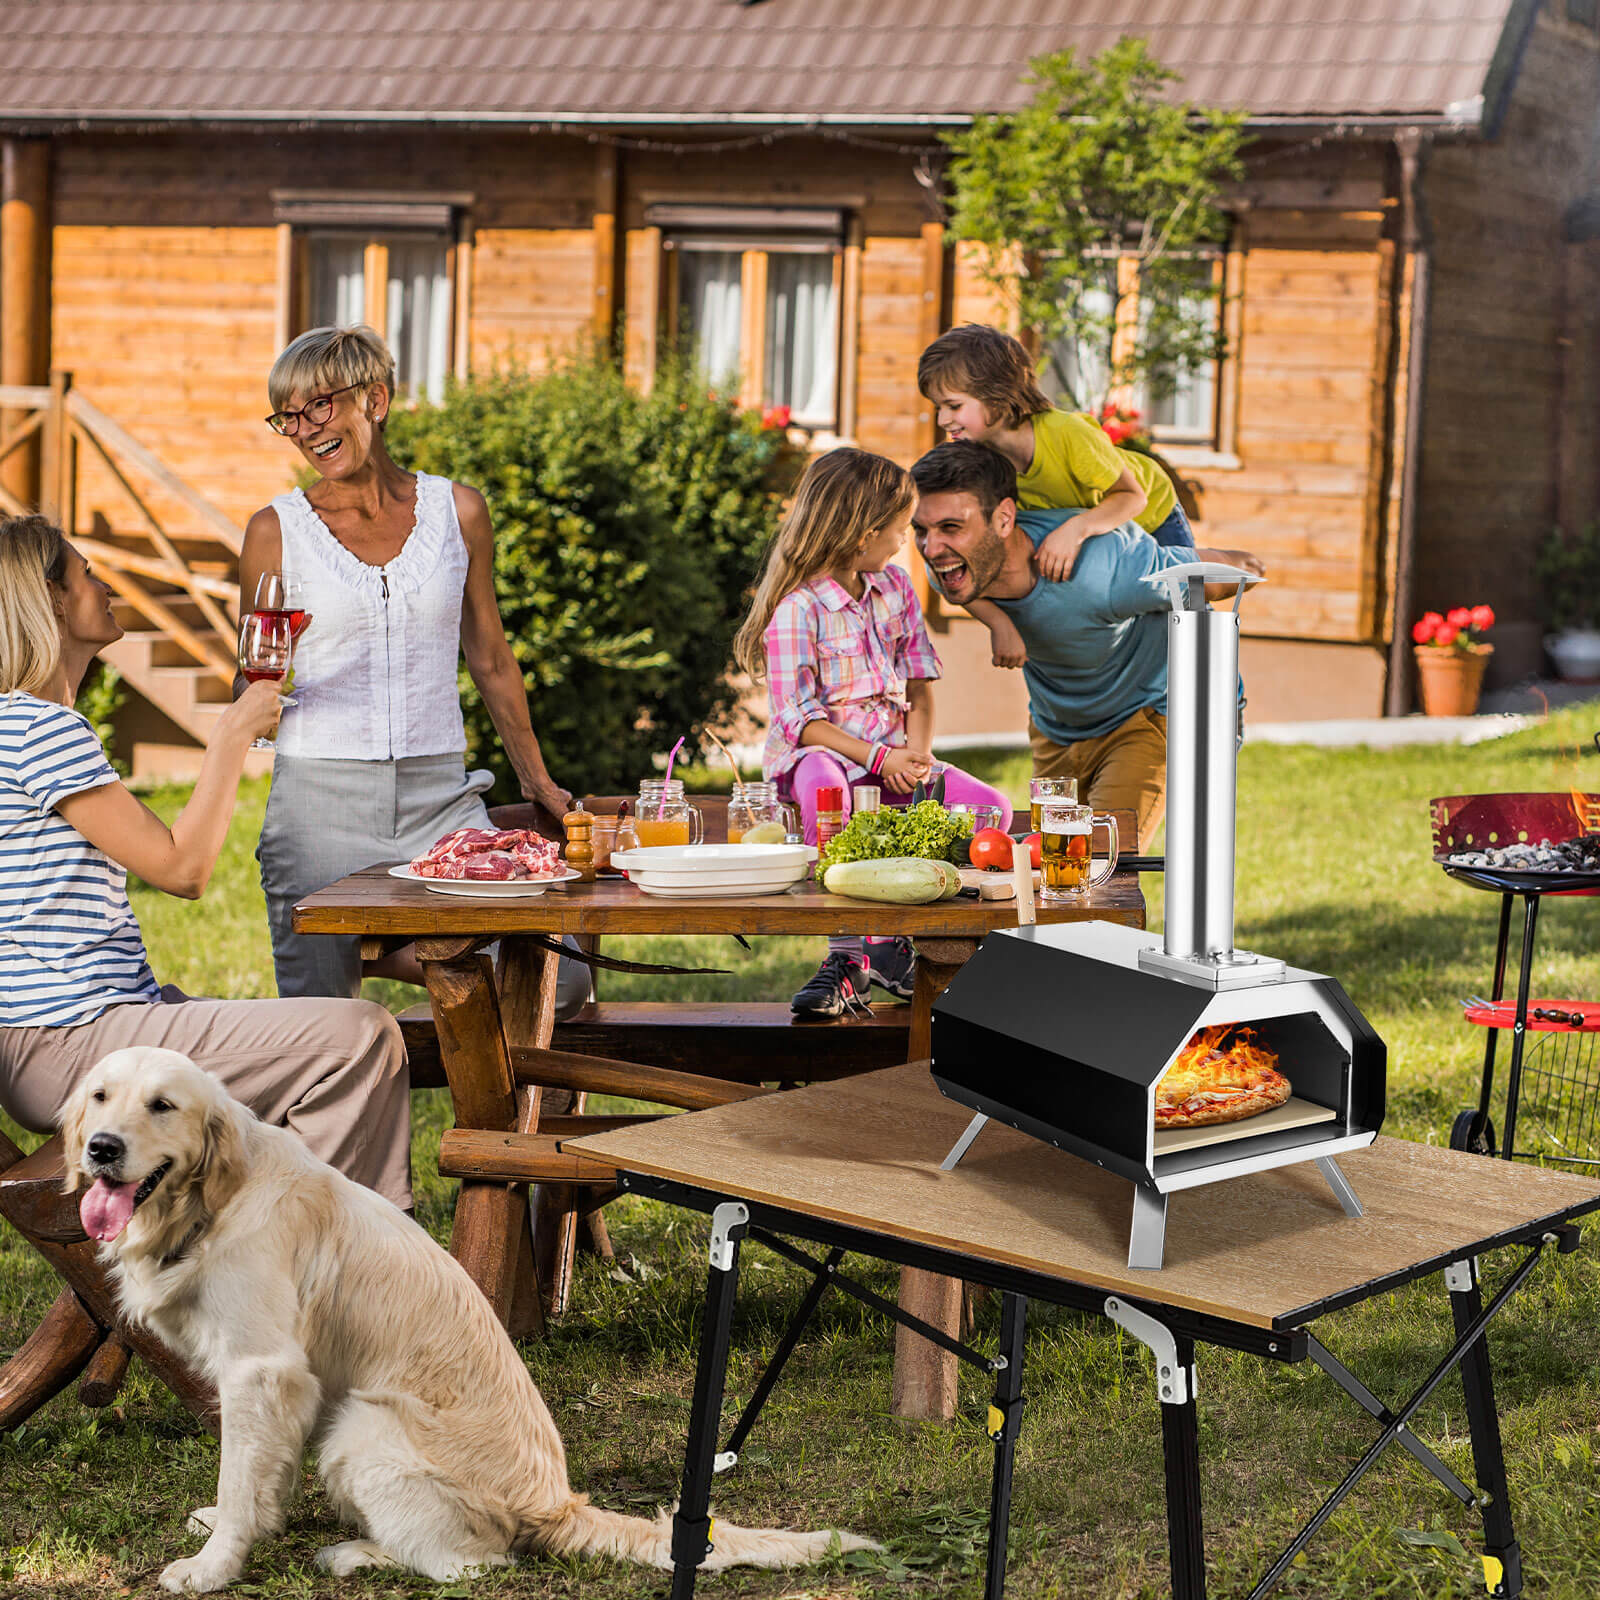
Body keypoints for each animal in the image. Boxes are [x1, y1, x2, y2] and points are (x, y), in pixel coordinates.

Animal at [62, 1043, 883, 1593]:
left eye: (163, 1105)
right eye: (100, 1097)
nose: (101, 1148)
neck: (210, 1202)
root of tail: (557, 1504)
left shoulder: (261, 1369)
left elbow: (241, 1477)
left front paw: (212, 1567)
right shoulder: (275, 1387)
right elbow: (257, 1476)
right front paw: (241, 1526)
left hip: (362, 1429)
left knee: (473, 1565)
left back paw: (356, 1554)